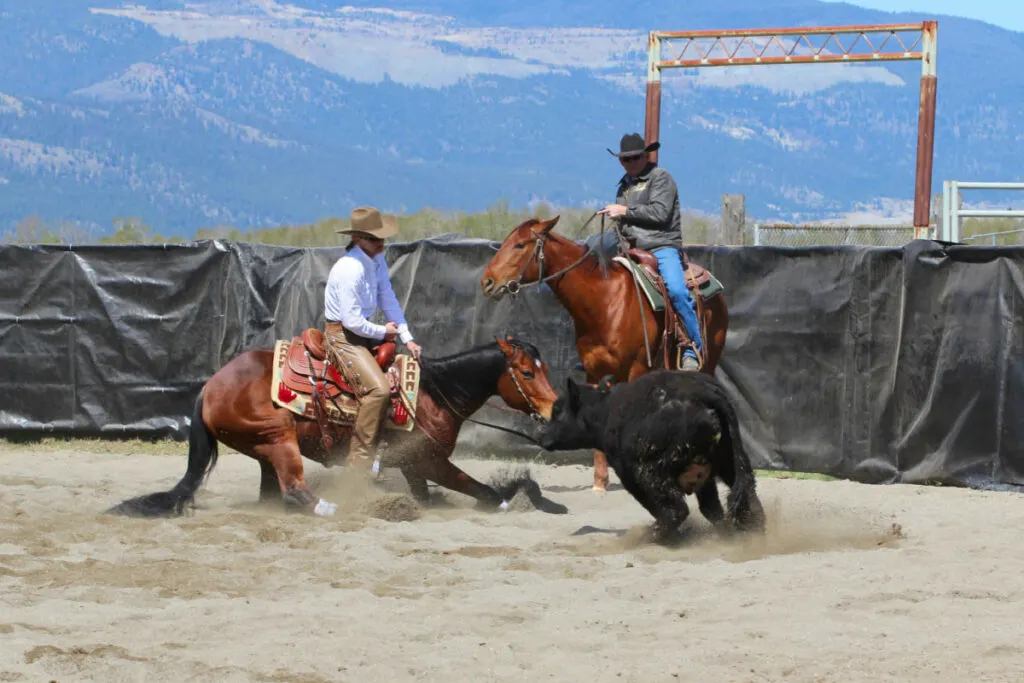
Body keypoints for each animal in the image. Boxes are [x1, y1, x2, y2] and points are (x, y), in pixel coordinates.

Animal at [108, 335, 565, 518]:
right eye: (527, 371)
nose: (554, 408)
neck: (434, 394)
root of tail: (210, 386)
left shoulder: (415, 468)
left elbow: (431, 496)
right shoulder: (428, 461)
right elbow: (484, 491)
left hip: (263, 449)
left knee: (273, 495)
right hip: (279, 436)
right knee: (294, 491)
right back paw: (336, 506)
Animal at [479, 218, 729, 491]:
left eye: (520, 245)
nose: (487, 282)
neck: (605, 302)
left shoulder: (637, 369)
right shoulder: (593, 371)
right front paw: (599, 483)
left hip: (707, 360)